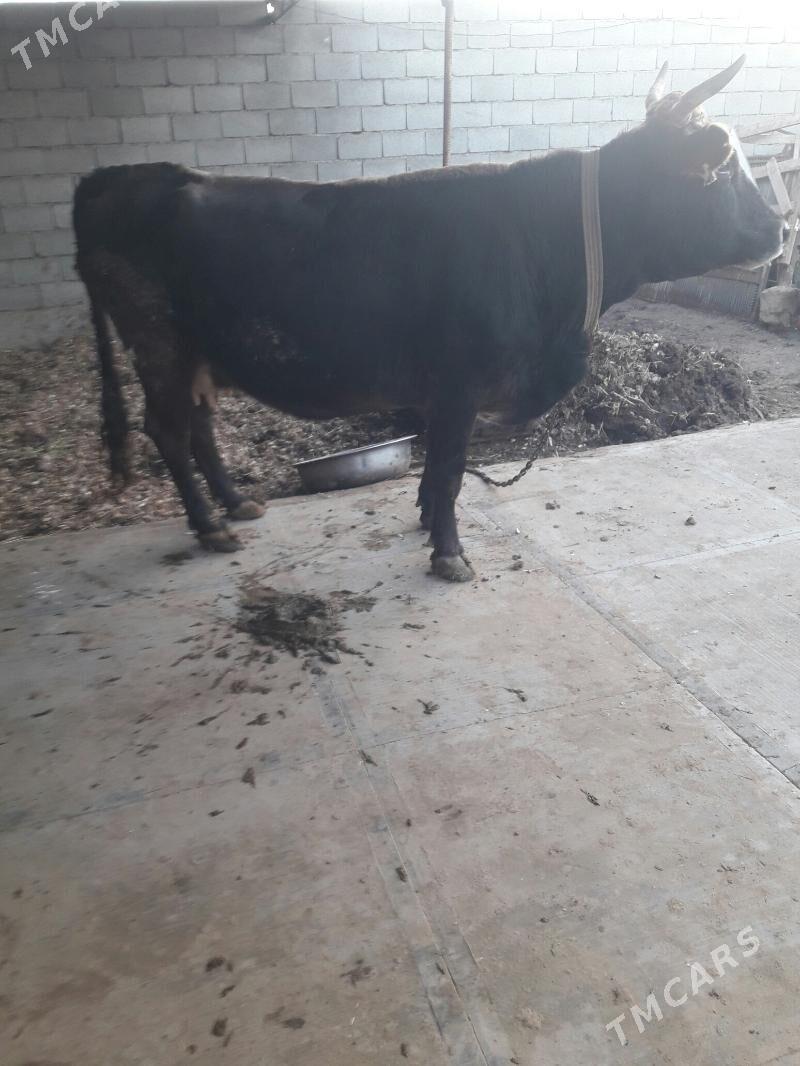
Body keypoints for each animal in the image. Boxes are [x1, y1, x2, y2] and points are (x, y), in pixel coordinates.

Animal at [73, 57, 785, 582]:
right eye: (723, 171)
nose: (780, 228)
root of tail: (118, 177)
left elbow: (437, 467)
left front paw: (423, 521)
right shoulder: (459, 384)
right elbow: (448, 466)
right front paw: (448, 553)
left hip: (197, 352)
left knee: (198, 427)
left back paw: (236, 504)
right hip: (159, 342)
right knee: (167, 430)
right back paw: (210, 525)